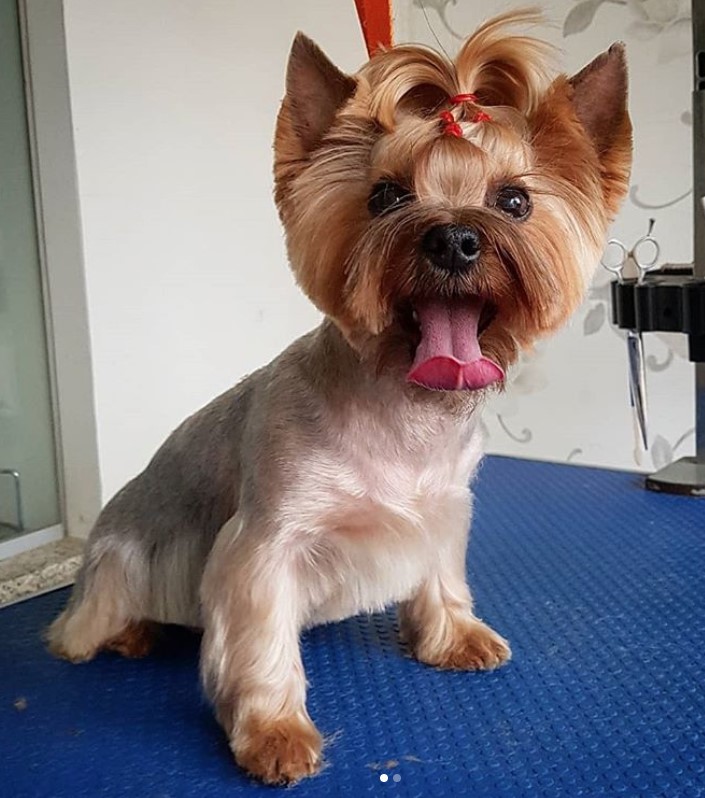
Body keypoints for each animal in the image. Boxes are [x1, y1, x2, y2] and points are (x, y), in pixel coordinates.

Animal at [49, 7, 632, 788]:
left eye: (513, 201)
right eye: (386, 196)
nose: (455, 239)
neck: (405, 407)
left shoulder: (444, 508)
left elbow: (441, 573)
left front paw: (453, 633)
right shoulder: (262, 543)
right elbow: (262, 640)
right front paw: (273, 732)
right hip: (116, 565)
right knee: (86, 624)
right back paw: (125, 632)